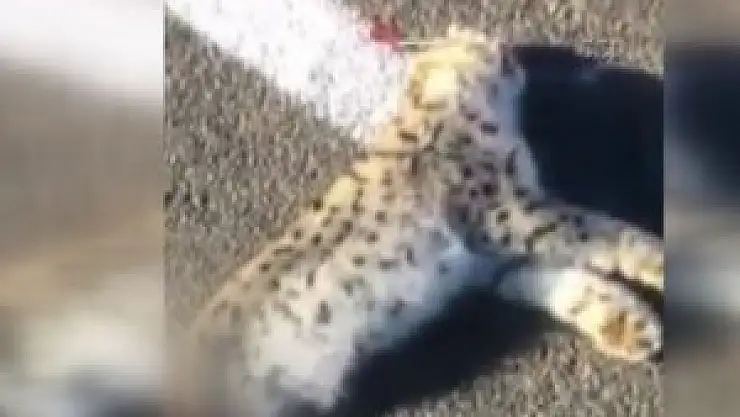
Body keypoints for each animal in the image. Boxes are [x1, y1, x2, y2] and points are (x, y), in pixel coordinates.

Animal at [175, 24, 664, 417]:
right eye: (474, 34)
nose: (510, 47)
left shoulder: (491, 256)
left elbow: (563, 281)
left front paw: (624, 323)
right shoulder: (505, 211)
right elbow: (601, 230)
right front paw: (656, 261)